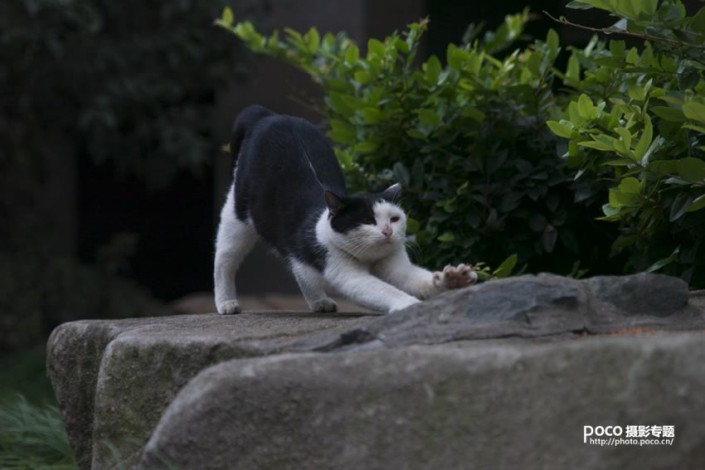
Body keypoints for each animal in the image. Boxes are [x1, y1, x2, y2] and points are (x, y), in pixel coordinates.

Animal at [212, 104, 476, 314]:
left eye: (394, 219)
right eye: (368, 220)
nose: (388, 232)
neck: (369, 260)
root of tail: (268, 115)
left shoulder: (399, 268)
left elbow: (419, 279)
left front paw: (454, 279)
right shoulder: (346, 273)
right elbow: (384, 290)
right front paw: (410, 305)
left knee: (298, 267)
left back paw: (319, 302)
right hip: (236, 218)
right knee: (224, 261)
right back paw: (226, 304)